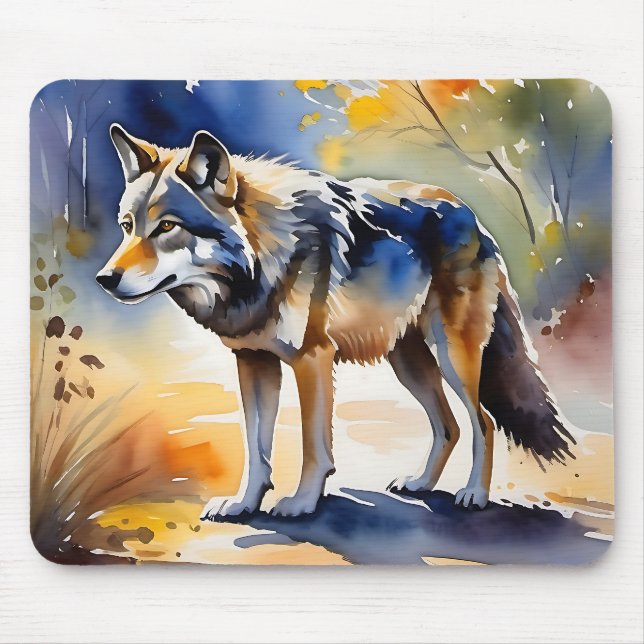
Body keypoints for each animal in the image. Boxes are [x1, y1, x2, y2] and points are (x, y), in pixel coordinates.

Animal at [97, 124, 575, 517]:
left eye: (166, 227)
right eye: (126, 226)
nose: (104, 279)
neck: (262, 259)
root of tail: (469, 213)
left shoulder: (312, 358)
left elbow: (313, 445)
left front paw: (302, 503)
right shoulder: (253, 362)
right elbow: (256, 447)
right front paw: (244, 503)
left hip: (452, 356)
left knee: (484, 423)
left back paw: (474, 494)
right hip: (409, 364)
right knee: (450, 426)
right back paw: (421, 483)